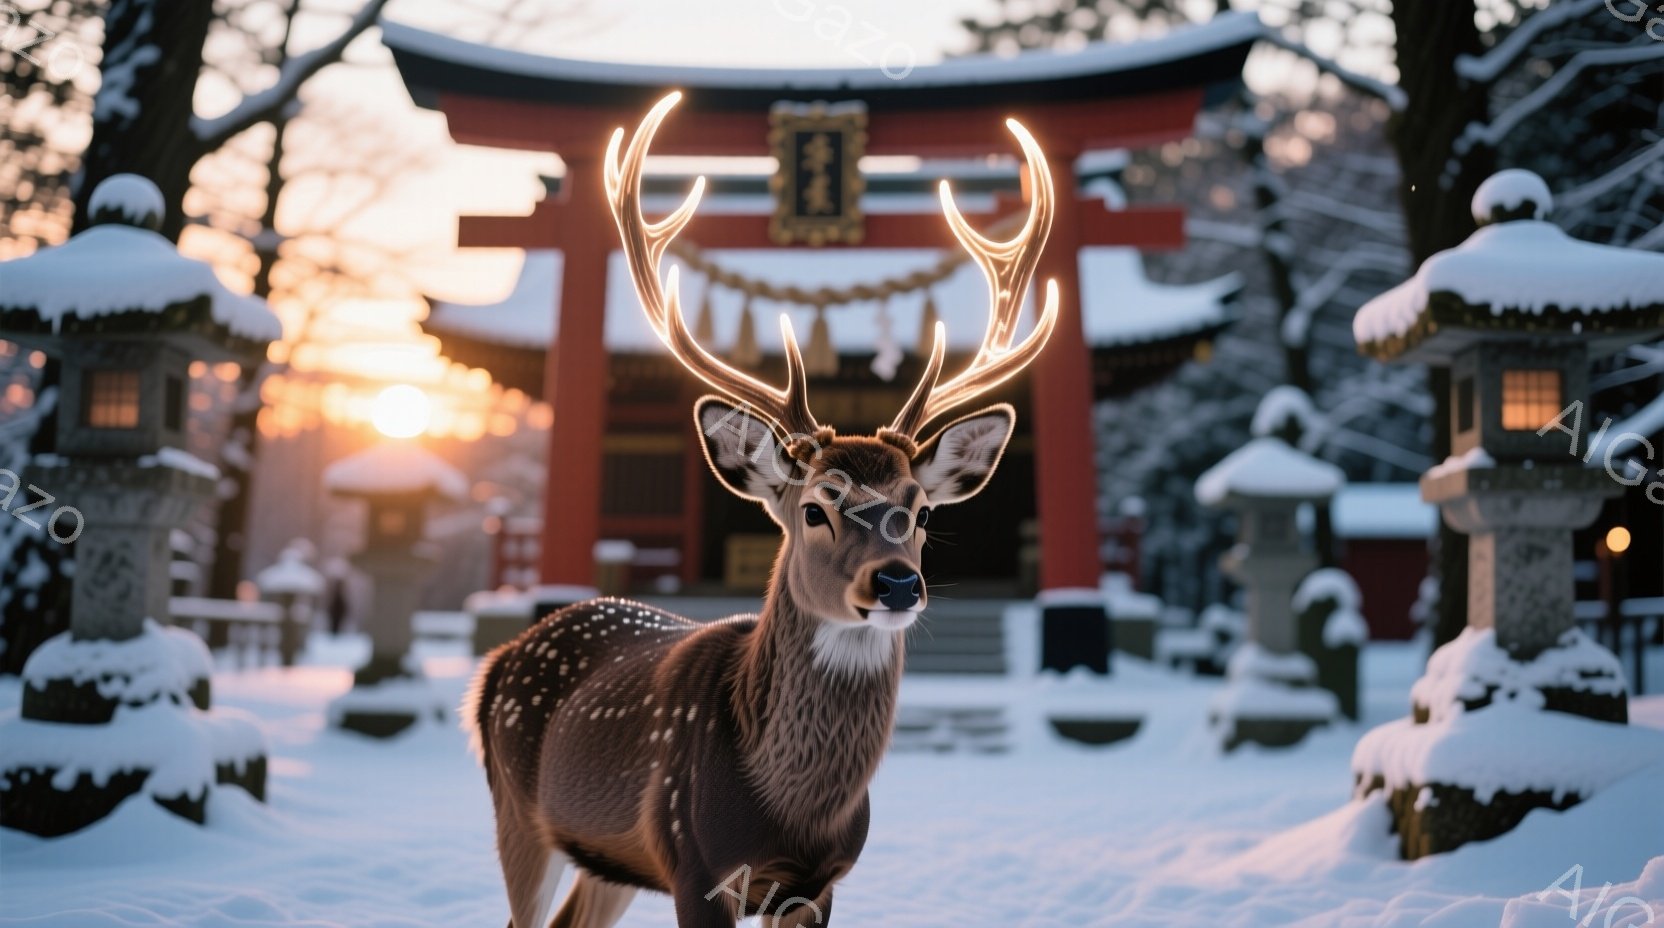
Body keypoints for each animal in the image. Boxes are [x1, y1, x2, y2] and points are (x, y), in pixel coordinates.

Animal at [462, 91, 1060, 928]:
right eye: (815, 509)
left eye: (921, 511)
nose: (896, 583)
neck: (792, 813)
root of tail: (498, 662)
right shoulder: (694, 863)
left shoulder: (822, 882)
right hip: (517, 810)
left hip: (607, 858)